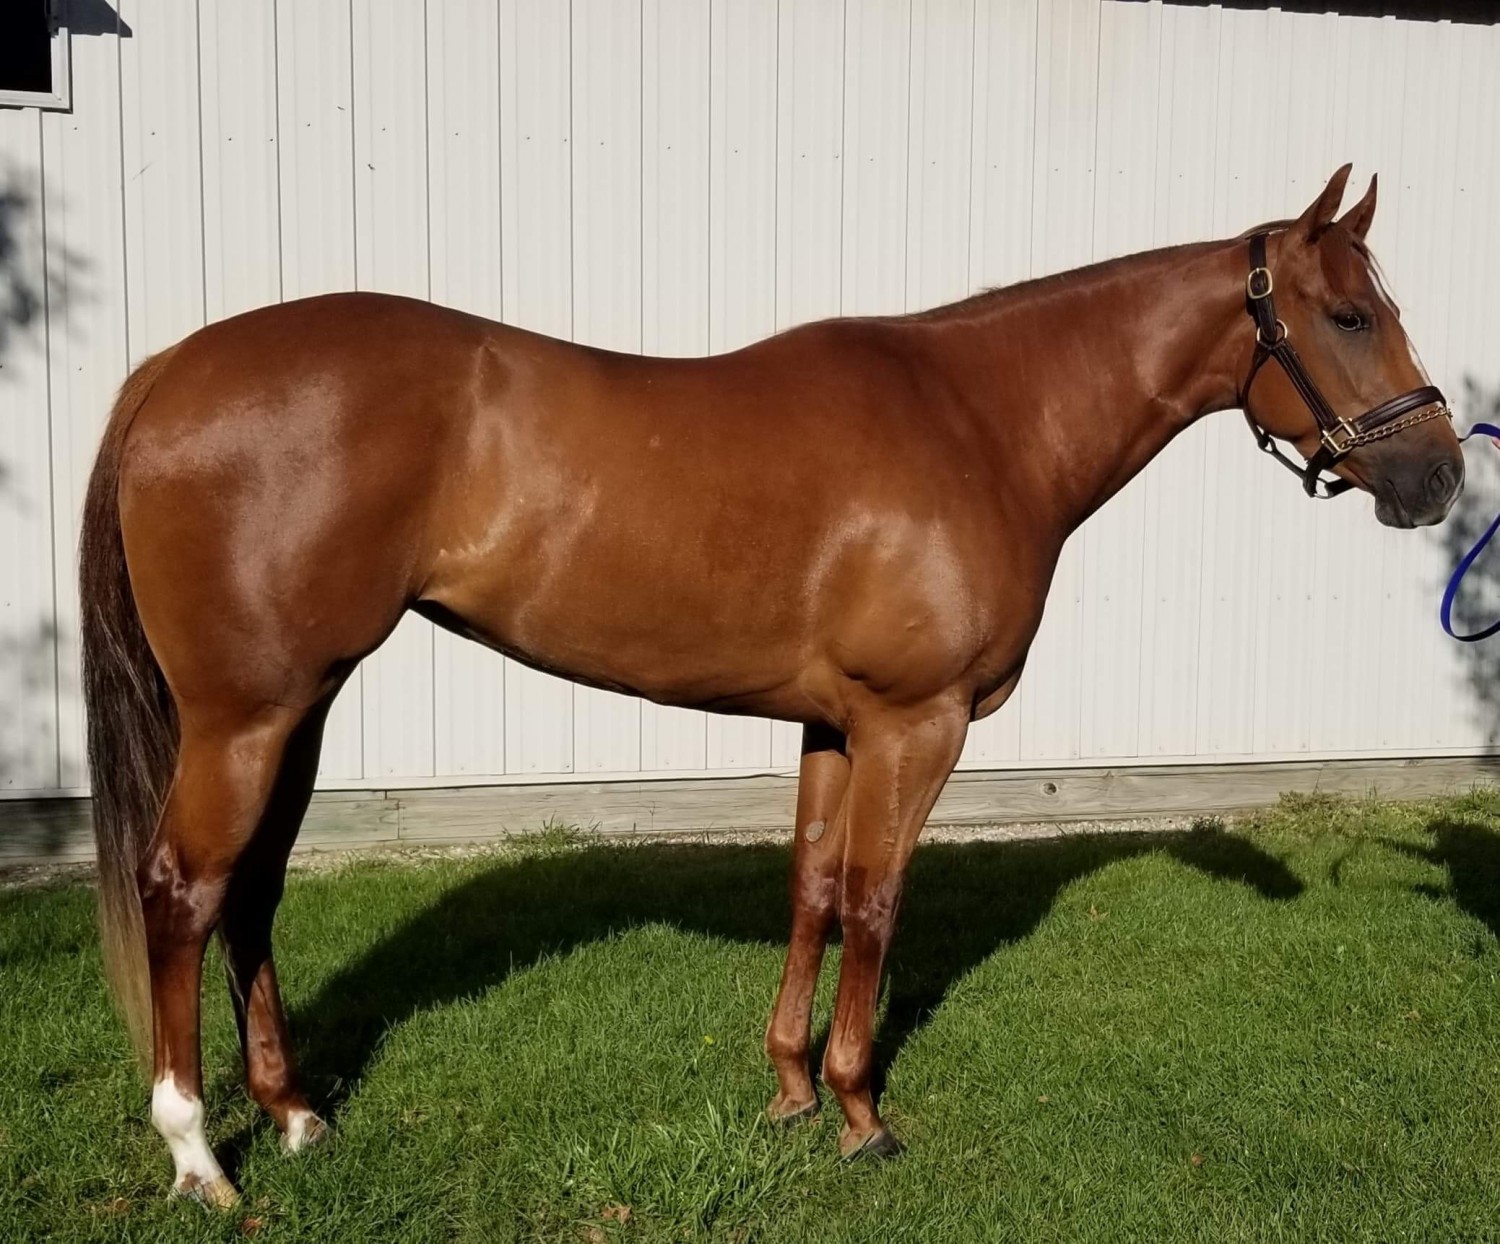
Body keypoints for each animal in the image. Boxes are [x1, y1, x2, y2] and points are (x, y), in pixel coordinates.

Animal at [79, 165, 1462, 1204]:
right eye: (1349, 314)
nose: (1439, 476)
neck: (982, 421)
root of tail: (172, 370)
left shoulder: (832, 724)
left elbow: (812, 887)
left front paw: (792, 1088)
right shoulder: (916, 723)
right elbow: (878, 898)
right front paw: (861, 1110)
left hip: (297, 708)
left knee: (252, 893)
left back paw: (297, 1114)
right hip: (247, 718)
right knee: (184, 889)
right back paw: (200, 1155)